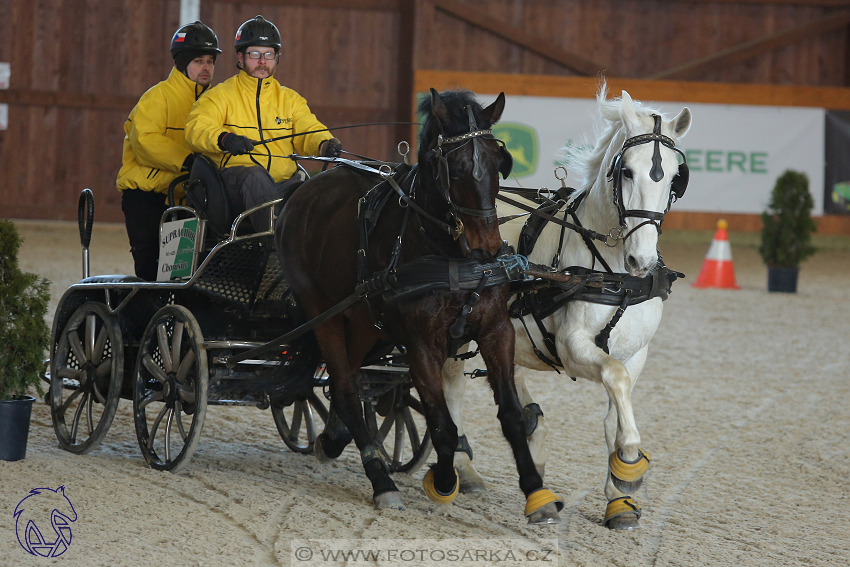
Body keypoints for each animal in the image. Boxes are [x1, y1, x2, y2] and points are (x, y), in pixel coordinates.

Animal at [274, 90, 560, 524]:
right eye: (455, 168)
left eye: (499, 161)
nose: (489, 248)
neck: (447, 254)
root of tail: (303, 191)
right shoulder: (421, 343)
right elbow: (442, 426)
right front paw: (442, 481)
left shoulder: (496, 329)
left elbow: (512, 416)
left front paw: (536, 493)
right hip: (323, 312)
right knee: (345, 386)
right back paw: (382, 482)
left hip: (366, 323)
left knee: (349, 383)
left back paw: (334, 439)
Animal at [444, 86, 688, 532]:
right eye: (626, 171)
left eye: (675, 177)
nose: (642, 260)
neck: (614, 274)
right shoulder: (573, 347)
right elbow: (615, 379)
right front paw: (631, 464)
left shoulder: (636, 353)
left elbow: (615, 409)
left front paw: (619, 496)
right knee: (451, 386)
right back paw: (463, 470)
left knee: (510, 381)